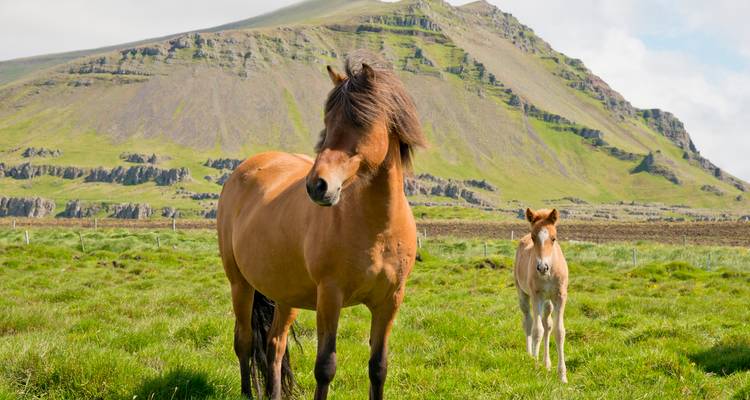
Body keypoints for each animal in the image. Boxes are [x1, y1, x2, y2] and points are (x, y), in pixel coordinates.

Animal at [216, 51, 426, 399]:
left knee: (274, 345)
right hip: (240, 285)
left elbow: (378, 367)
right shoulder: (330, 297)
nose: (317, 186)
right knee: (244, 342)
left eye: (361, 122)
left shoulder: (389, 301)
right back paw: (248, 392)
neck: (378, 230)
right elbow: (325, 366)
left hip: (284, 295)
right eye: (328, 123)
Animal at [513, 208, 569, 383]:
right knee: (529, 322)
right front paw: (536, 367)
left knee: (547, 324)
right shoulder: (536, 296)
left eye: (554, 238)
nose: (542, 267)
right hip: (524, 295)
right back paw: (530, 356)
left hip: (548, 302)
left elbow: (559, 331)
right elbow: (537, 330)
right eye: (533, 237)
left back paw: (547, 364)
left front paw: (562, 376)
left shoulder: (560, 297)